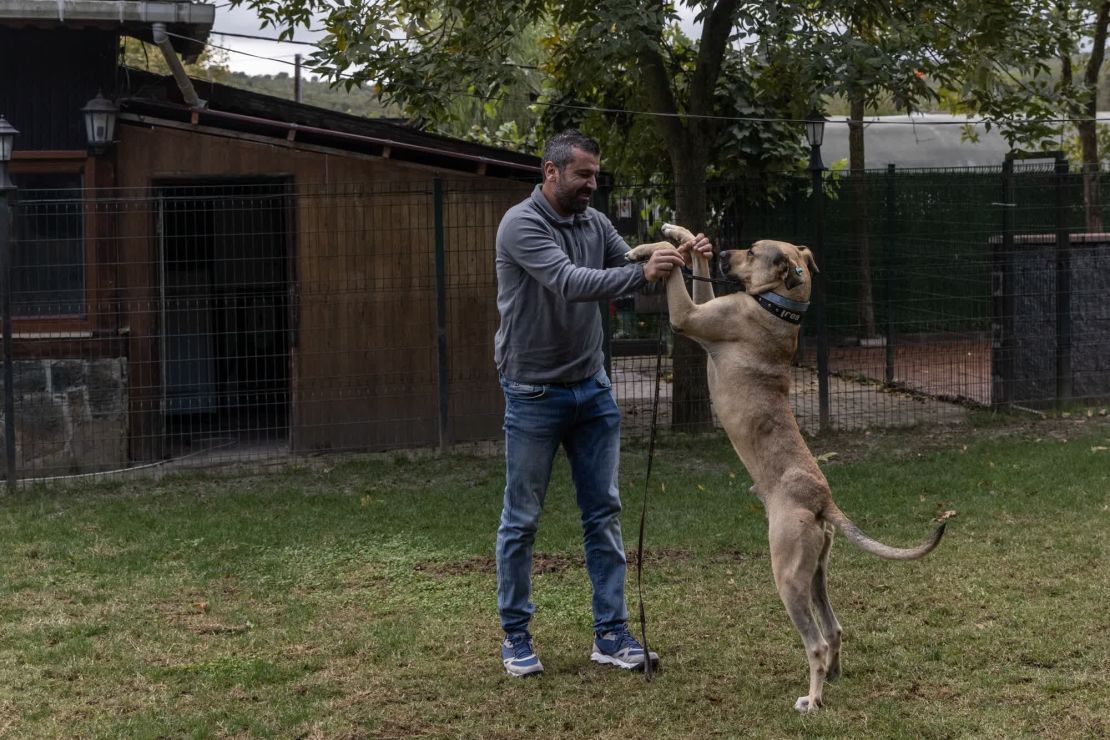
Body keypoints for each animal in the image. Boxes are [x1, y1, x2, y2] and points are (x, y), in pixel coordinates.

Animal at [626, 224, 945, 710]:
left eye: (754, 251)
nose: (722, 251)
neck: (780, 306)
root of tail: (823, 501)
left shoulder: (688, 315)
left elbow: (675, 274)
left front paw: (655, 248)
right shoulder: (703, 305)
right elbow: (691, 264)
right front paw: (682, 238)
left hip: (788, 575)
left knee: (814, 642)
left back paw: (811, 700)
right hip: (815, 573)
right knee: (834, 629)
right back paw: (832, 680)